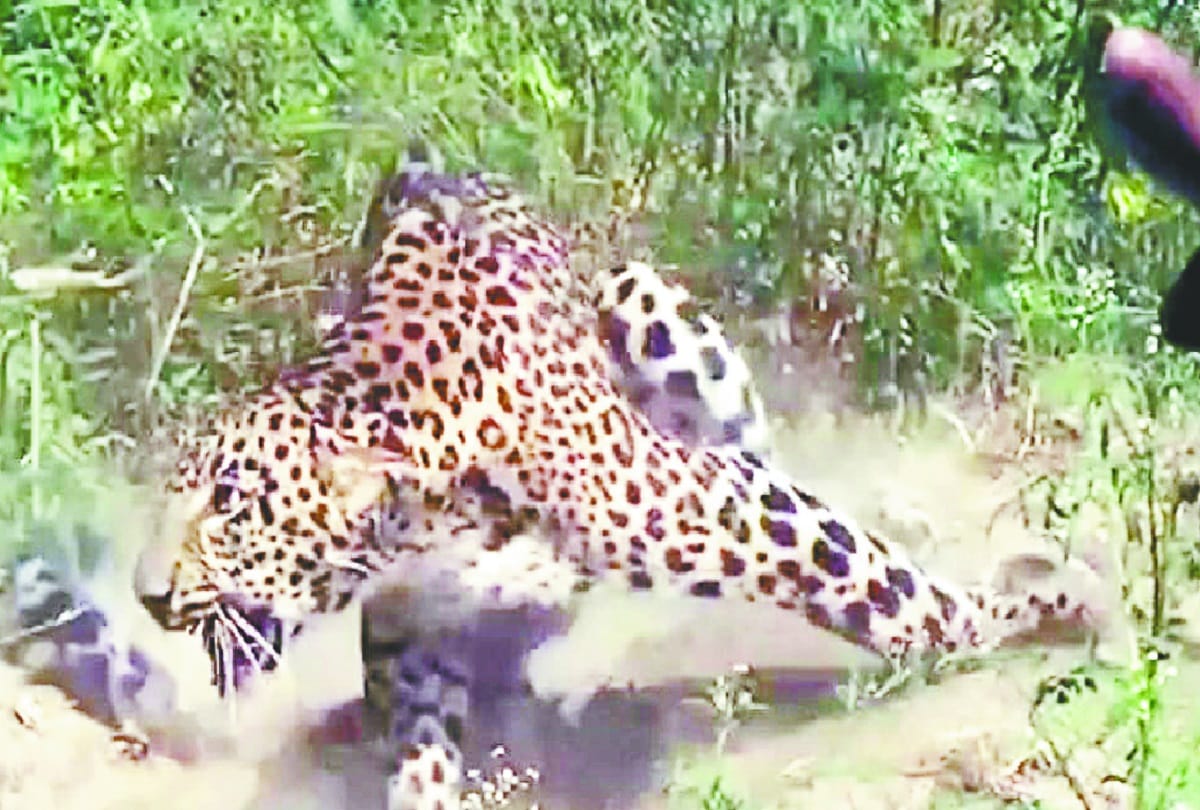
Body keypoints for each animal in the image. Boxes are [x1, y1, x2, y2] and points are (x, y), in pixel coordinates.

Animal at [121, 162, 1105, 810]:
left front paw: (1045, 604)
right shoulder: (420, 615)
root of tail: (433, 163)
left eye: (231, 503)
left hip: (655, 317)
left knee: (769, 458)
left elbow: (884, 589)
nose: (147, 596)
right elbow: (423, 732)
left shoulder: (713, 505)